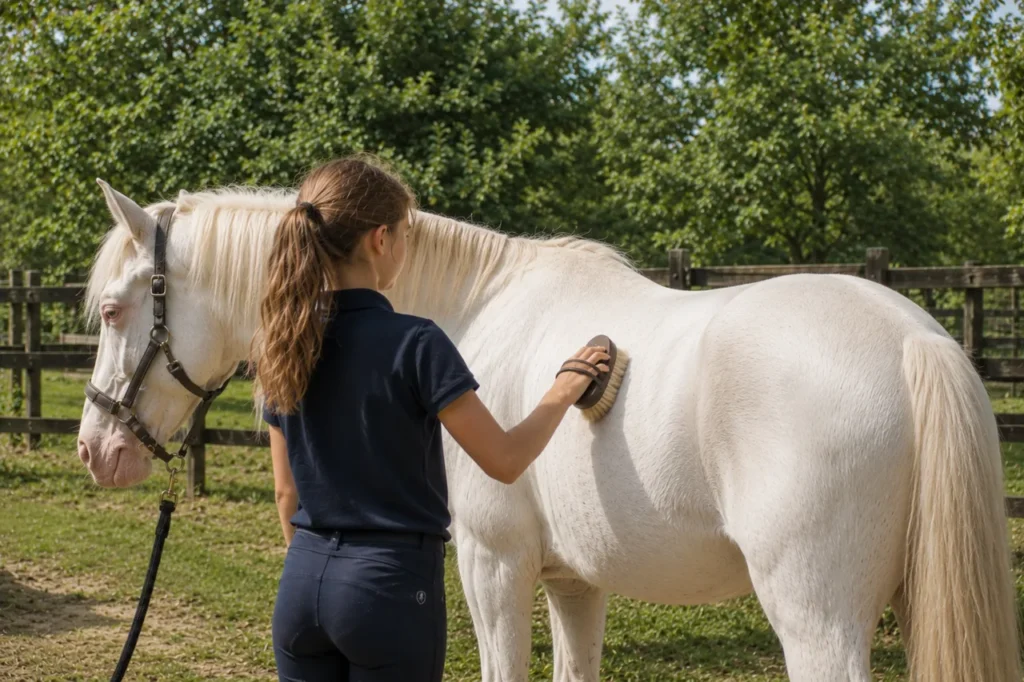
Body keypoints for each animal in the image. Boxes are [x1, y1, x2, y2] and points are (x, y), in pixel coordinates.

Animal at [78, 179, 1021, 681]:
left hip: (817, 620)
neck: (472, 312)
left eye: (116, 308)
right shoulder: (575, 580)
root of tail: (913, 341)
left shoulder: (493, 564)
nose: (98, 448)